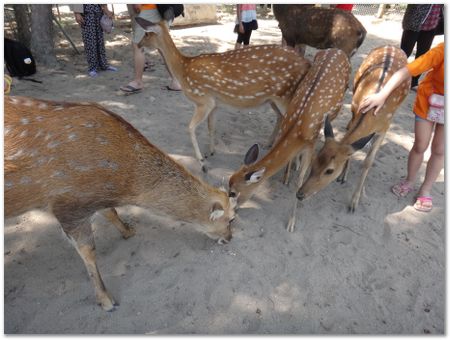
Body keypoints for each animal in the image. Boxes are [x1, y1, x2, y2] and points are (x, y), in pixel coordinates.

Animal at [5, 95, 237, 310]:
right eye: (232, 219)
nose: (229, 238)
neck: (123, 183)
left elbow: (111, 212)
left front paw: (128, 231)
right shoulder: (67, 203)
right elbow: (88, 250)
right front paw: (106, 300)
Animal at [132, 17, 312, 169]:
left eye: (147, 33)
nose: (139, 45)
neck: (184, 70)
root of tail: (307, 63)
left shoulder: (203, 100)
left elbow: (190, 128)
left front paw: (201, 161)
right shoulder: (215, 103)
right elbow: (211, 126)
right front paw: (211, 152)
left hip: (287, 96)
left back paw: (295, 165)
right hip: (273, 99)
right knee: (282, 119)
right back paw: (270, 145)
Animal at [229, 49, 352, 232]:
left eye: (233, 192)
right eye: (228, 184)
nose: (231, 215)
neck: (297, 127)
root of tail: (338, 50)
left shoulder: (311, 143)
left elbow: (300, 181)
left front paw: (291, 223)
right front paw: (288, 174)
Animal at [298, 44, 414, 211]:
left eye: (329, 170)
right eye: (315, 160)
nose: (300, 194)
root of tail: (392, 46)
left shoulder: (385, 128)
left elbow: (368, 161)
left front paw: (354, 202)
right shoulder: (354, 109)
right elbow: (352, 146)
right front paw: (343, 176)